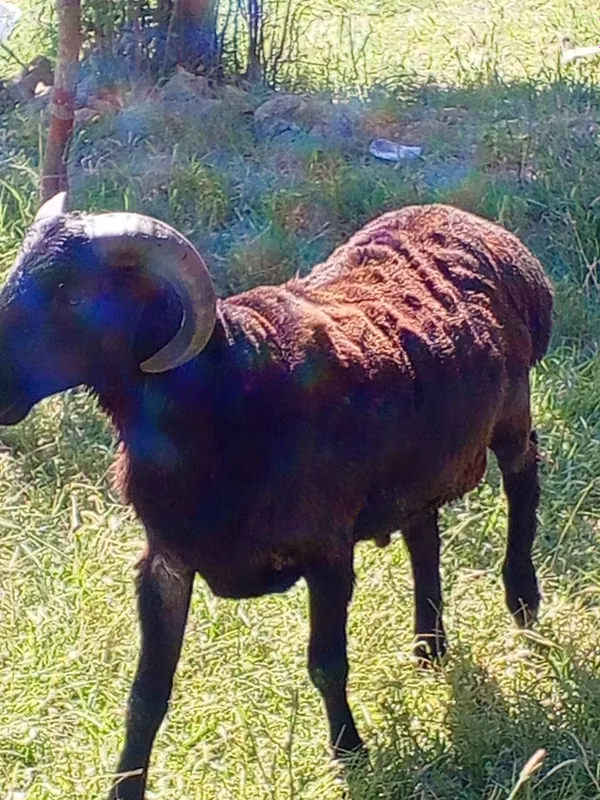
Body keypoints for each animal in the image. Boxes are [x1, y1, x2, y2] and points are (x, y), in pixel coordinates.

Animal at [0, 192, 553, 799]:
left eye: (72, 294)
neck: (226, 395)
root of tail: (481, 228)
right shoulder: (165, 562)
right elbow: (146, 694)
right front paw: (124, 786)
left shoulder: (327, 552)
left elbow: (326, 664)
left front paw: (349, 754)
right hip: (419, 465)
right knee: (422, 530)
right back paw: (429, 647)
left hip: (511, 410)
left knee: (523, 474)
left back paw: (523, 603)